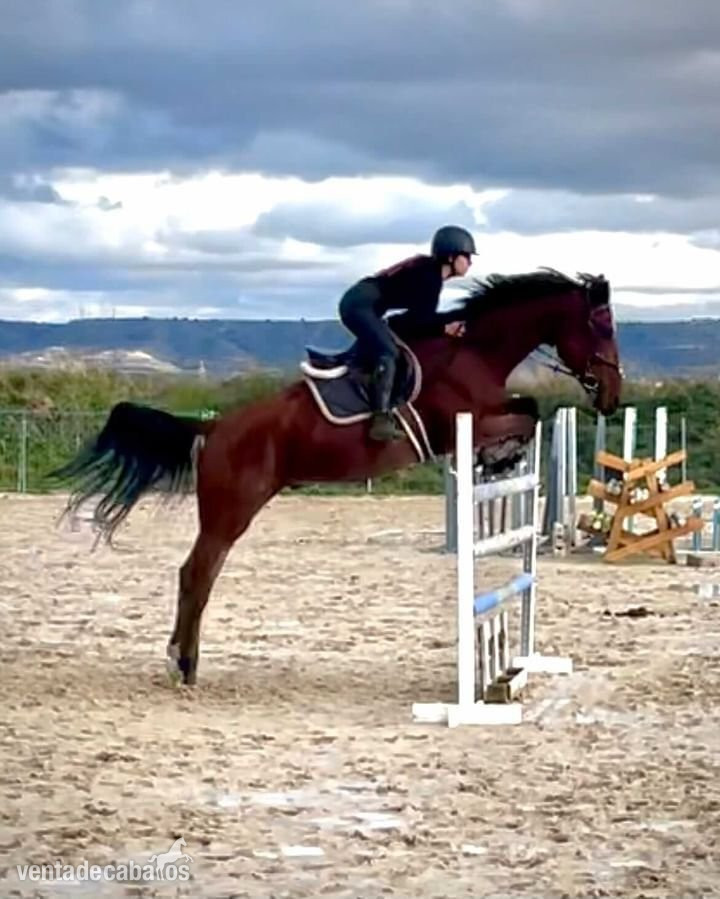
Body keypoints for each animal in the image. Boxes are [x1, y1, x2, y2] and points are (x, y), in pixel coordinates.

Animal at [49, 268, 622, 686]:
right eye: (602, 327)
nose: (614, 397)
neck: (474, 350)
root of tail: (213, 428)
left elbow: (528, 407)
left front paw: (499, 458)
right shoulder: (463, 421)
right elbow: (528, 412)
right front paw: (500, 455)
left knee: (197, 575)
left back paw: (182, 660)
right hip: (231, 510)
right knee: (196, 574)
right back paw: (184, 665)